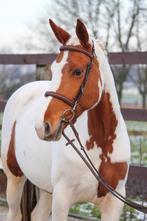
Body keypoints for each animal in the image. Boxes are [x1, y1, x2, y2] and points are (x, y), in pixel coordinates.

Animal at [0, 19, 130, 221]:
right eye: (53, 69)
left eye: (77, 71)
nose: (43, 126)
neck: (102, 147)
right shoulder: (62, 199)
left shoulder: (113, 204)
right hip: (15, 178)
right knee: (15, 213)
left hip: (46, 189)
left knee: (37, 214)